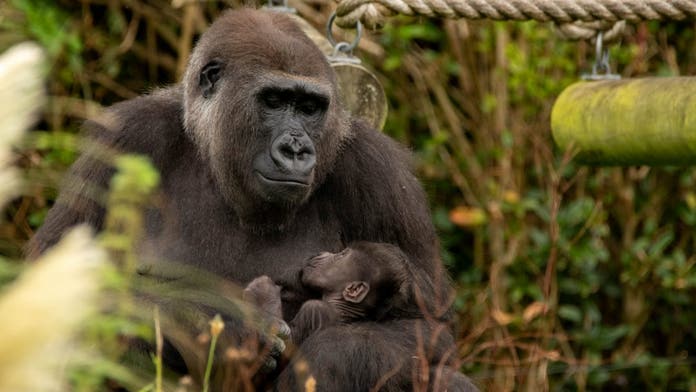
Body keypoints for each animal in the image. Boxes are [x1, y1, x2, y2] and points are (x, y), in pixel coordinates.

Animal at [243, 242, 414, 346]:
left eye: (340, 255)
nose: (321, 253)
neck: (341, 306)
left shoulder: (315, 310)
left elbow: (289, 343)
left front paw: (263, 291)